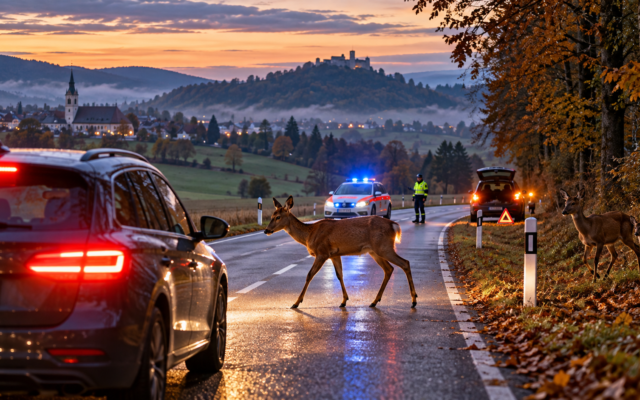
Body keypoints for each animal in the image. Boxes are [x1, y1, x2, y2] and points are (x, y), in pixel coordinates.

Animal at [264, 196, 417, 309]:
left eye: (278, 217)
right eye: (271, 215)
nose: (266, 230)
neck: (309, 234)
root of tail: (394, 225)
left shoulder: (322, 252)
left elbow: (309, 275)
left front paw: (296, 303)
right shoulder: (334, 254)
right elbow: (340, 275)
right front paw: (344, 301)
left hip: (384, 247)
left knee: (405, 263)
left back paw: (414, 300)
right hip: (375, 251)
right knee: (389, 269)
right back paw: (374, 301)